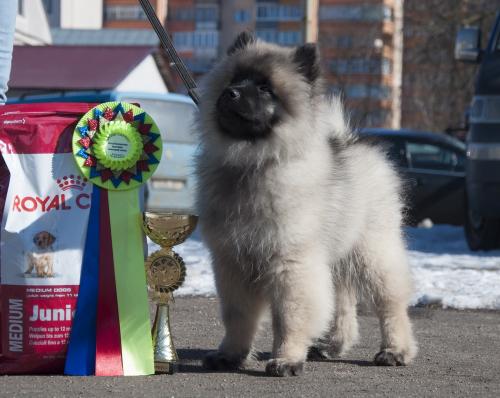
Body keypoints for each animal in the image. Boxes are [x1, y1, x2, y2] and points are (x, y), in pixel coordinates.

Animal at [195, 31, 418, 376]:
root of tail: (352, 143)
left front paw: (286, 358)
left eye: (265, 88)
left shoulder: (291, 263)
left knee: (391, 305)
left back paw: (395, 350)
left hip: (373, 254)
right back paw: (332, 345)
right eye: (234, 79)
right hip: (337, 259)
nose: (231, 93)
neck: (253, 162)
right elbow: (238, 316)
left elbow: (289, 317)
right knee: (343, 303)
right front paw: (230, 355)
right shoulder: (233, 263)